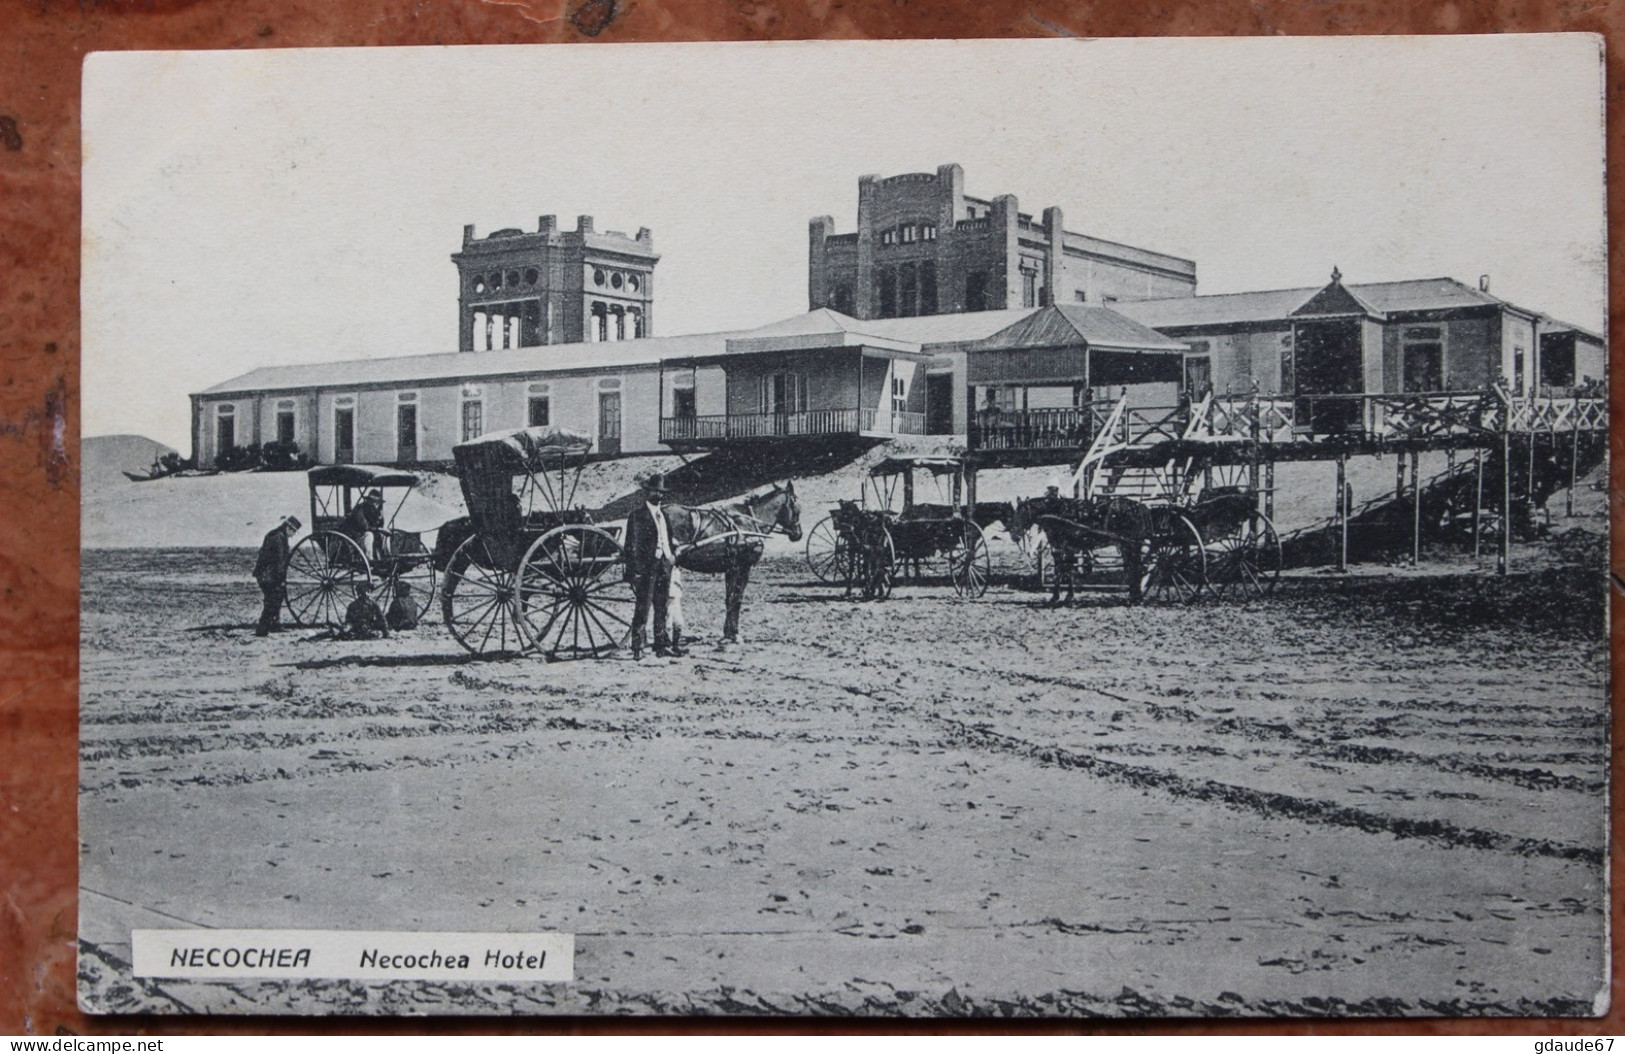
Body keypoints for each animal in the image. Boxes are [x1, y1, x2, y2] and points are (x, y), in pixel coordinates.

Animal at [656, 477, 802, 639]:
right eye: (797, 508)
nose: (798, 534)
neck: (751, 521)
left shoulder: (730, 569)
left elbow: (729, 599)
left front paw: (728, 632)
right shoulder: (742, 567)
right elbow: (736, 598)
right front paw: (734, 633)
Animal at [1007, 490, 1150, 604]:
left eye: (1022, 514)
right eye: (1014, 514)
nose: (1014, 536)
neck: (1058, 514)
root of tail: (1138, 506)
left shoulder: (1065, 547)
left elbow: (1063, 570)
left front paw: (1061, 596)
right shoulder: (1063, 548)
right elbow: (1065, 570)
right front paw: (1063, 596)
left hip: (1131, 545)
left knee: (1136, 567)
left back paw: (1136, 598)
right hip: (1128, 545)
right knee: (1133, 567)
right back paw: (1133, 596)